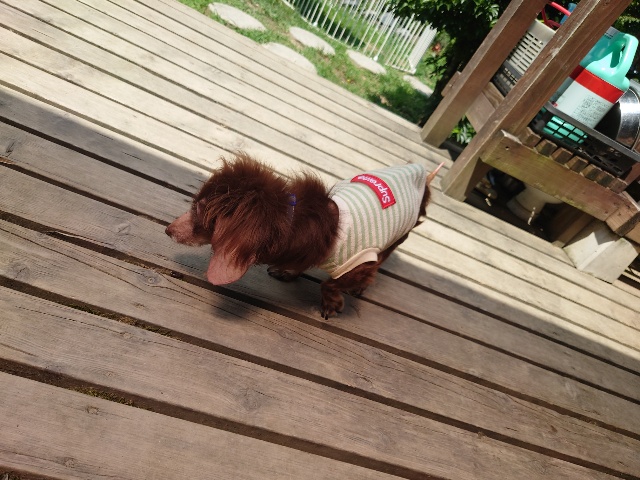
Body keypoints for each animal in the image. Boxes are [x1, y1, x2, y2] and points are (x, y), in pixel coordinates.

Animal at [166, 152, 442, 318]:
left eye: (199, 213)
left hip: (399, 234)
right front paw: (288, 271)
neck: (295, 224)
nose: (167, 230)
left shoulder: (361, 261)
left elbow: (330, 283)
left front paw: (333, 304)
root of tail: (422, 175)